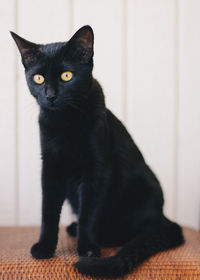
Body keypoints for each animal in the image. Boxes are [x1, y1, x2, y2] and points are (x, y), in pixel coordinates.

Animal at [10, 25, 183, 278]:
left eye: (67, 76)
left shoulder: (97, 169)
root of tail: (163, 218)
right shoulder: (50, 166)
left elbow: (89, 212)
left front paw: (88, 249)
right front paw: (44, 247)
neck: (66, 121)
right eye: (38, 78)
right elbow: (48, 210)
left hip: (145, 187)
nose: (50, 95)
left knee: (140, 230)